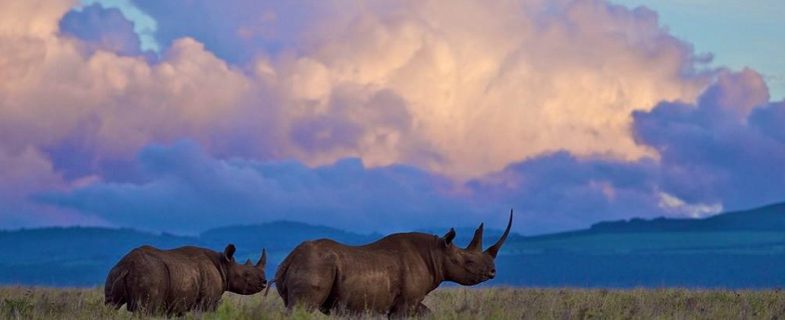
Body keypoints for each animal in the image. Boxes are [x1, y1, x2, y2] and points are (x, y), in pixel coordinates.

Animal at [104, 245, 266, 316]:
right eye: (246, 275)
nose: (264, 282)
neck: (223, 266)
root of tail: (127, 266)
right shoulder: (207, 302)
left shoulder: (176, 303)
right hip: (149, 274)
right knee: (146, 311)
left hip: (113, 273)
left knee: (111, 307)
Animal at [276, 209, 516, 316]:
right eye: (469, 261)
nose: (493, 272)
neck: (437, 254)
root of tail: (289, 258)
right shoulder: (407, 302)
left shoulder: (409, 302)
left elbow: (428, 313)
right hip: (315, 264)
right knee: (301, 309)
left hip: (309, 264)